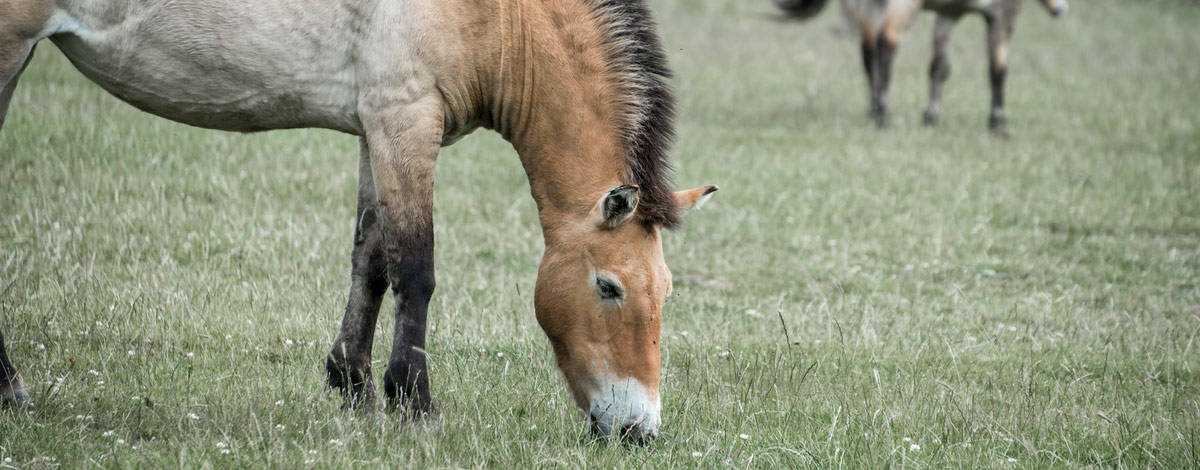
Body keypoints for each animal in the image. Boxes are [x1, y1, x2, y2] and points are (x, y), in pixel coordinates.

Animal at [0, 0, 715, 443]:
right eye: (609, 287)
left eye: (665, 293)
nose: (638, 430)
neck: (496, 15)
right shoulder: (405, 119)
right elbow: (416, 269)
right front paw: (415, 406)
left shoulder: (377, 129)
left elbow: (372, 258)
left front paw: (353, 386)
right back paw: (11, 388)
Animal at [777, 0, 1070, 133]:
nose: (1060, 9)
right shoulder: (1004, 13)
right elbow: (998, 70)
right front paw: (998, 123)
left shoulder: (948, 14)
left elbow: (939, 67)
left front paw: (930, 116)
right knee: (887, 41)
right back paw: (884, 114)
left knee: (869, 51)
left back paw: (874, 109)